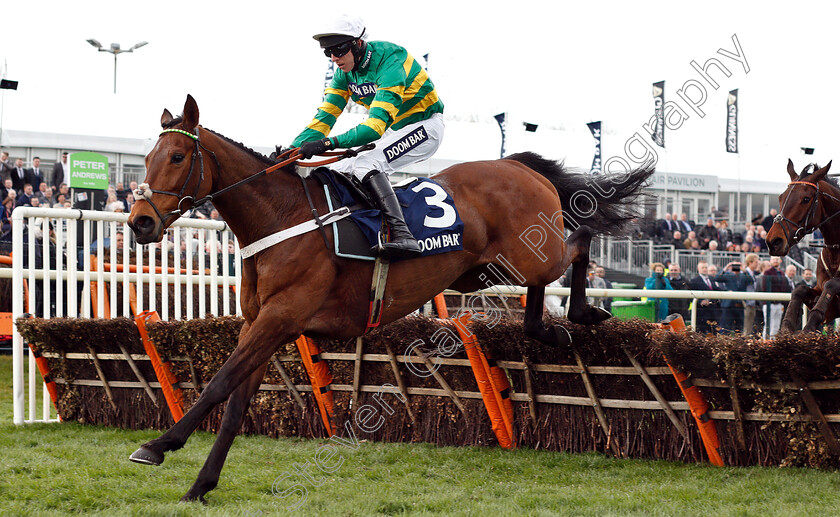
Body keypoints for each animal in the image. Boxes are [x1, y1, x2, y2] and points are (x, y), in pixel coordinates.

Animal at [124, 94, 652, 502]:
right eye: (146, 159)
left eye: (176, 157)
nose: (140, 223)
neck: (281, 217)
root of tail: (517, 165)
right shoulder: (263, 325)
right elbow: (234, 405)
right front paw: (201, 485)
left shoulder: (281, 318)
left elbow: (217, 385)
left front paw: (158, 446)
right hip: (480, 274)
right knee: (549, 281)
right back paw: (549, 328)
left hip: (530, 252)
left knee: (580, 237)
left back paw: (583, 311)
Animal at [768, 158, 840, 334]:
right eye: (780, 197)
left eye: (806, 199)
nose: (773, 241)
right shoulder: (820, 291)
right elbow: (799, 289)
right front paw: (786, 325)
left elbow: (832, 284)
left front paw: (809, 324)